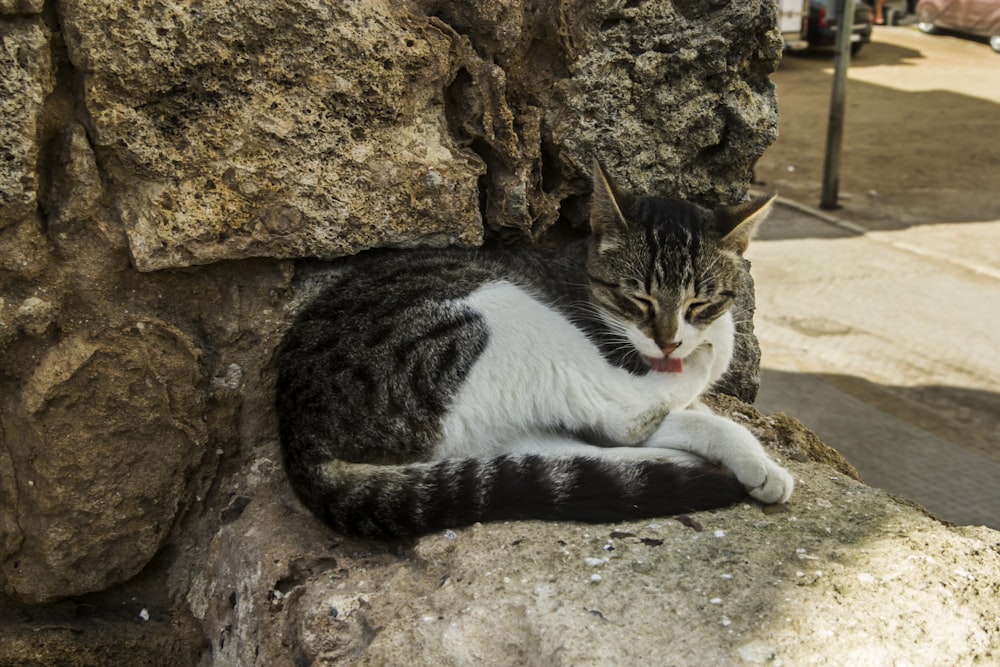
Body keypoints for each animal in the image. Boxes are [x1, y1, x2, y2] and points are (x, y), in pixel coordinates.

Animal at [278, 163, 792, 544]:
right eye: (639, 300)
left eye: (699, 303)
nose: (669, 342)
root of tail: (300, 432)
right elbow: (653, 408)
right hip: (497, 313)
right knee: (622, 417)